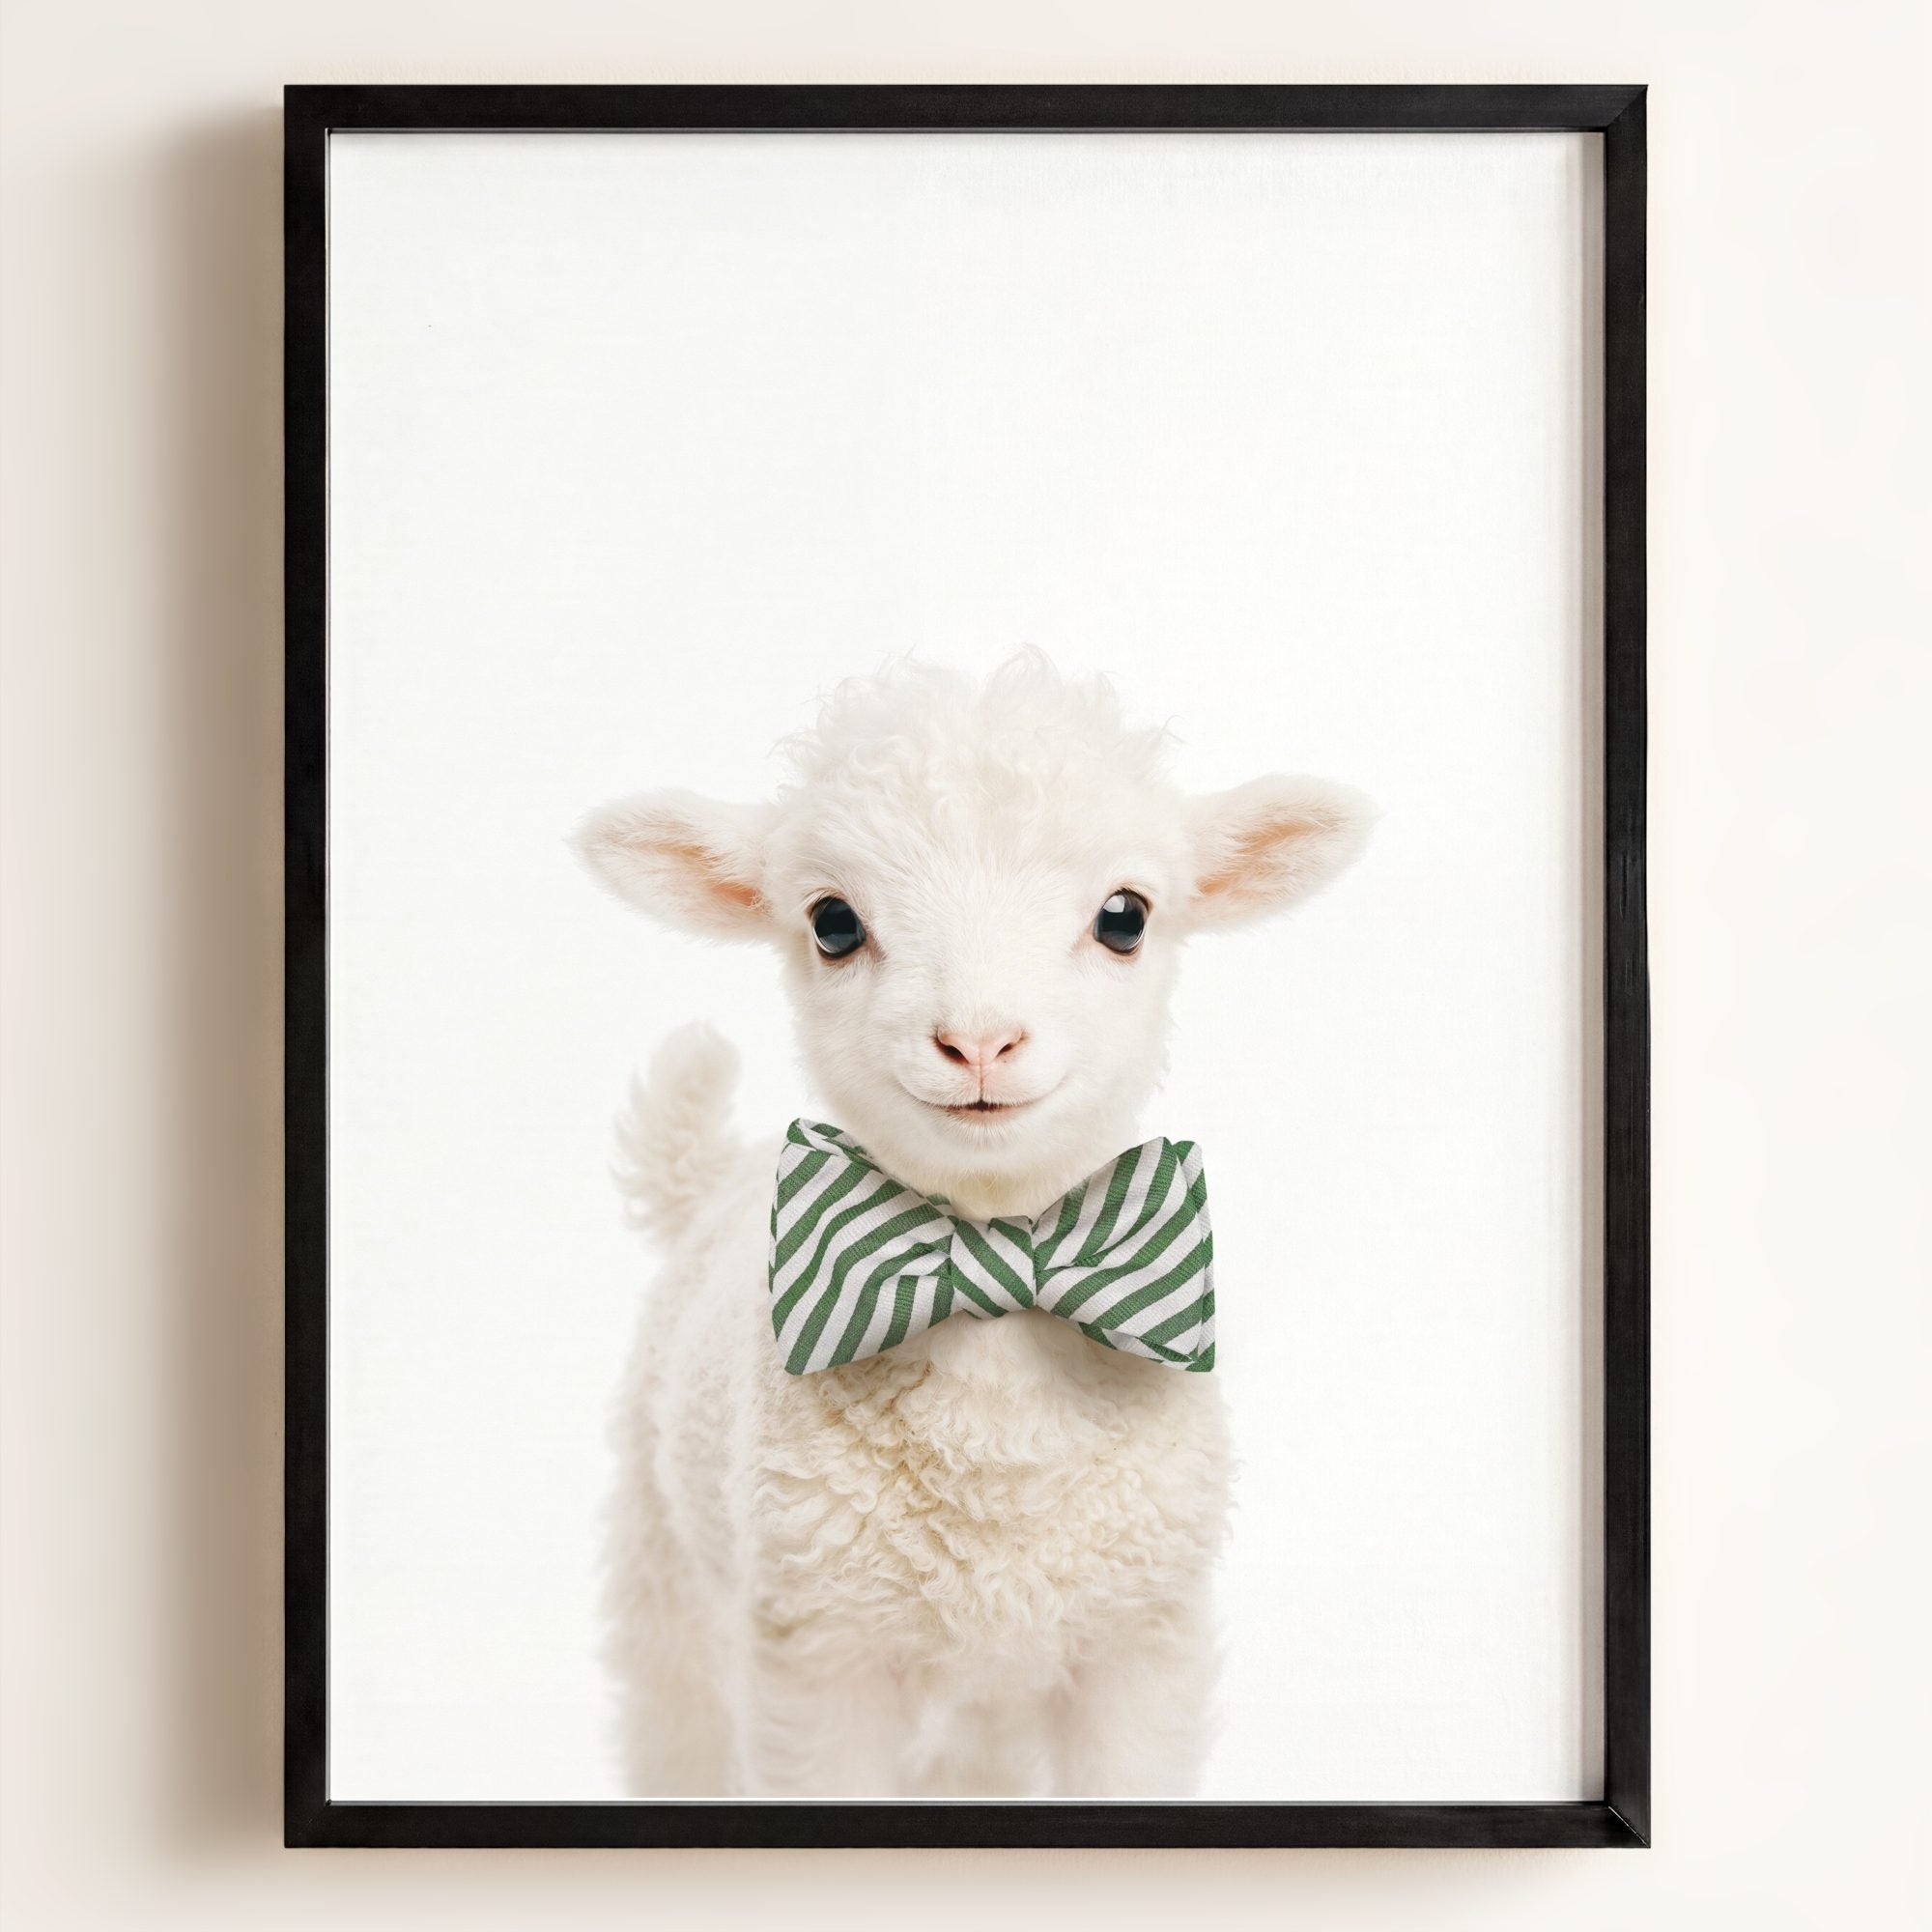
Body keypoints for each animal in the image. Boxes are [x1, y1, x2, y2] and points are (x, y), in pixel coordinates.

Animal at [573, 651, 1373, 1797]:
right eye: (831, 922)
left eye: (1125, 915)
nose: (980, 1039)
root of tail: (713, 1176)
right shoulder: (817, 1654)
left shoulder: (1140, 1643)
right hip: (667, 1572)